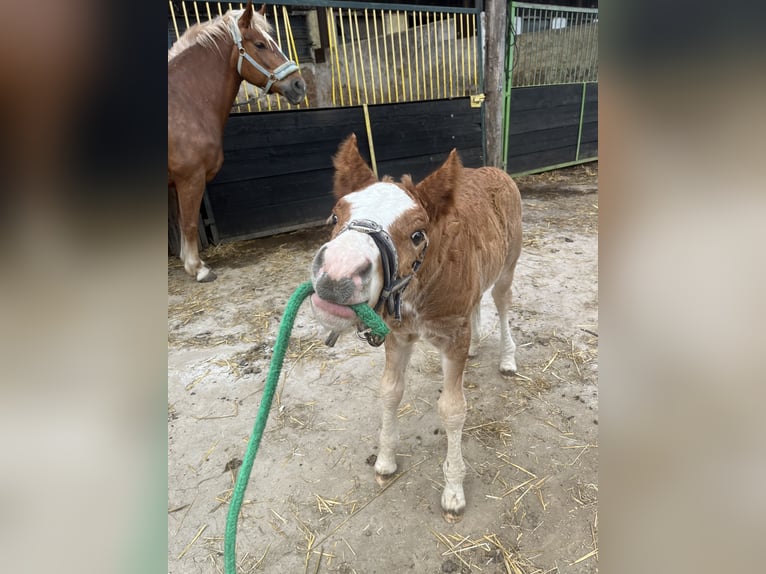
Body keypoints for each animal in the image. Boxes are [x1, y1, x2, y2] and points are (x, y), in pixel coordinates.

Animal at [170, 2, 308, 284]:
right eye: (260, 44)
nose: (299, 85)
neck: (184, 101)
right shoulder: (189, 177)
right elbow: (189, 222)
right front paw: (197, 268)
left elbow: (182, 221)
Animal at [308, 135, 524, 520]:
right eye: (335, 215)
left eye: (417, 234)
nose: (337, 274)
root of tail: (496, 171)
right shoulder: (398, 335)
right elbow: (390, 392)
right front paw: (385, 461)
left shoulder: (452, 339)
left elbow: (452, 410)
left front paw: (453, 491)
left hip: (508, 265)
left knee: (501, 303)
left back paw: (507, 358)